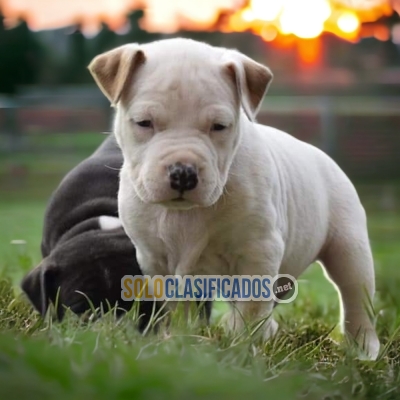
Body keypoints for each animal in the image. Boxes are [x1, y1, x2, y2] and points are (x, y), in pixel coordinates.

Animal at [89, 38, 380, 360]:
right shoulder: (156, 261)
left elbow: (250, 311)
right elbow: (177, 309)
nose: (183, 173)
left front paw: (241, 350)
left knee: (355, 296)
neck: (187, 212)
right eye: (143, 123)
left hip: (349, 247)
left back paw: (363, 350)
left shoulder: (258, 251)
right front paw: (179, 342)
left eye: (219, 126)